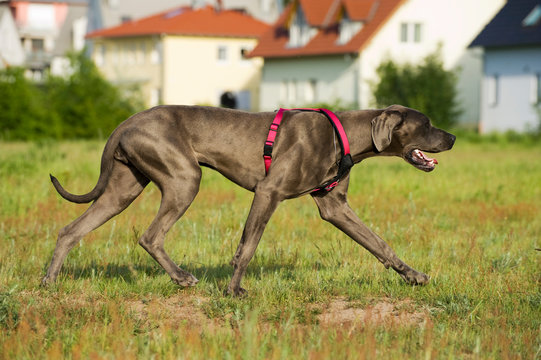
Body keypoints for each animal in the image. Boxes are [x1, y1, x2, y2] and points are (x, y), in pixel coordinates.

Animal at [43, 103, 456, 296]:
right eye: (426, 124)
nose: (452, 138)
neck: (346, 134)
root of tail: (125, 122)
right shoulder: (268, 193)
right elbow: (247, 247)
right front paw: (234, 290)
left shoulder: (335, 207)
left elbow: (379, 244)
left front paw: (413, 275)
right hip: (183, 179)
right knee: (150, 235)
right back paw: (182, 277)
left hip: (124, 187)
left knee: (70, 230)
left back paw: (49, 281)